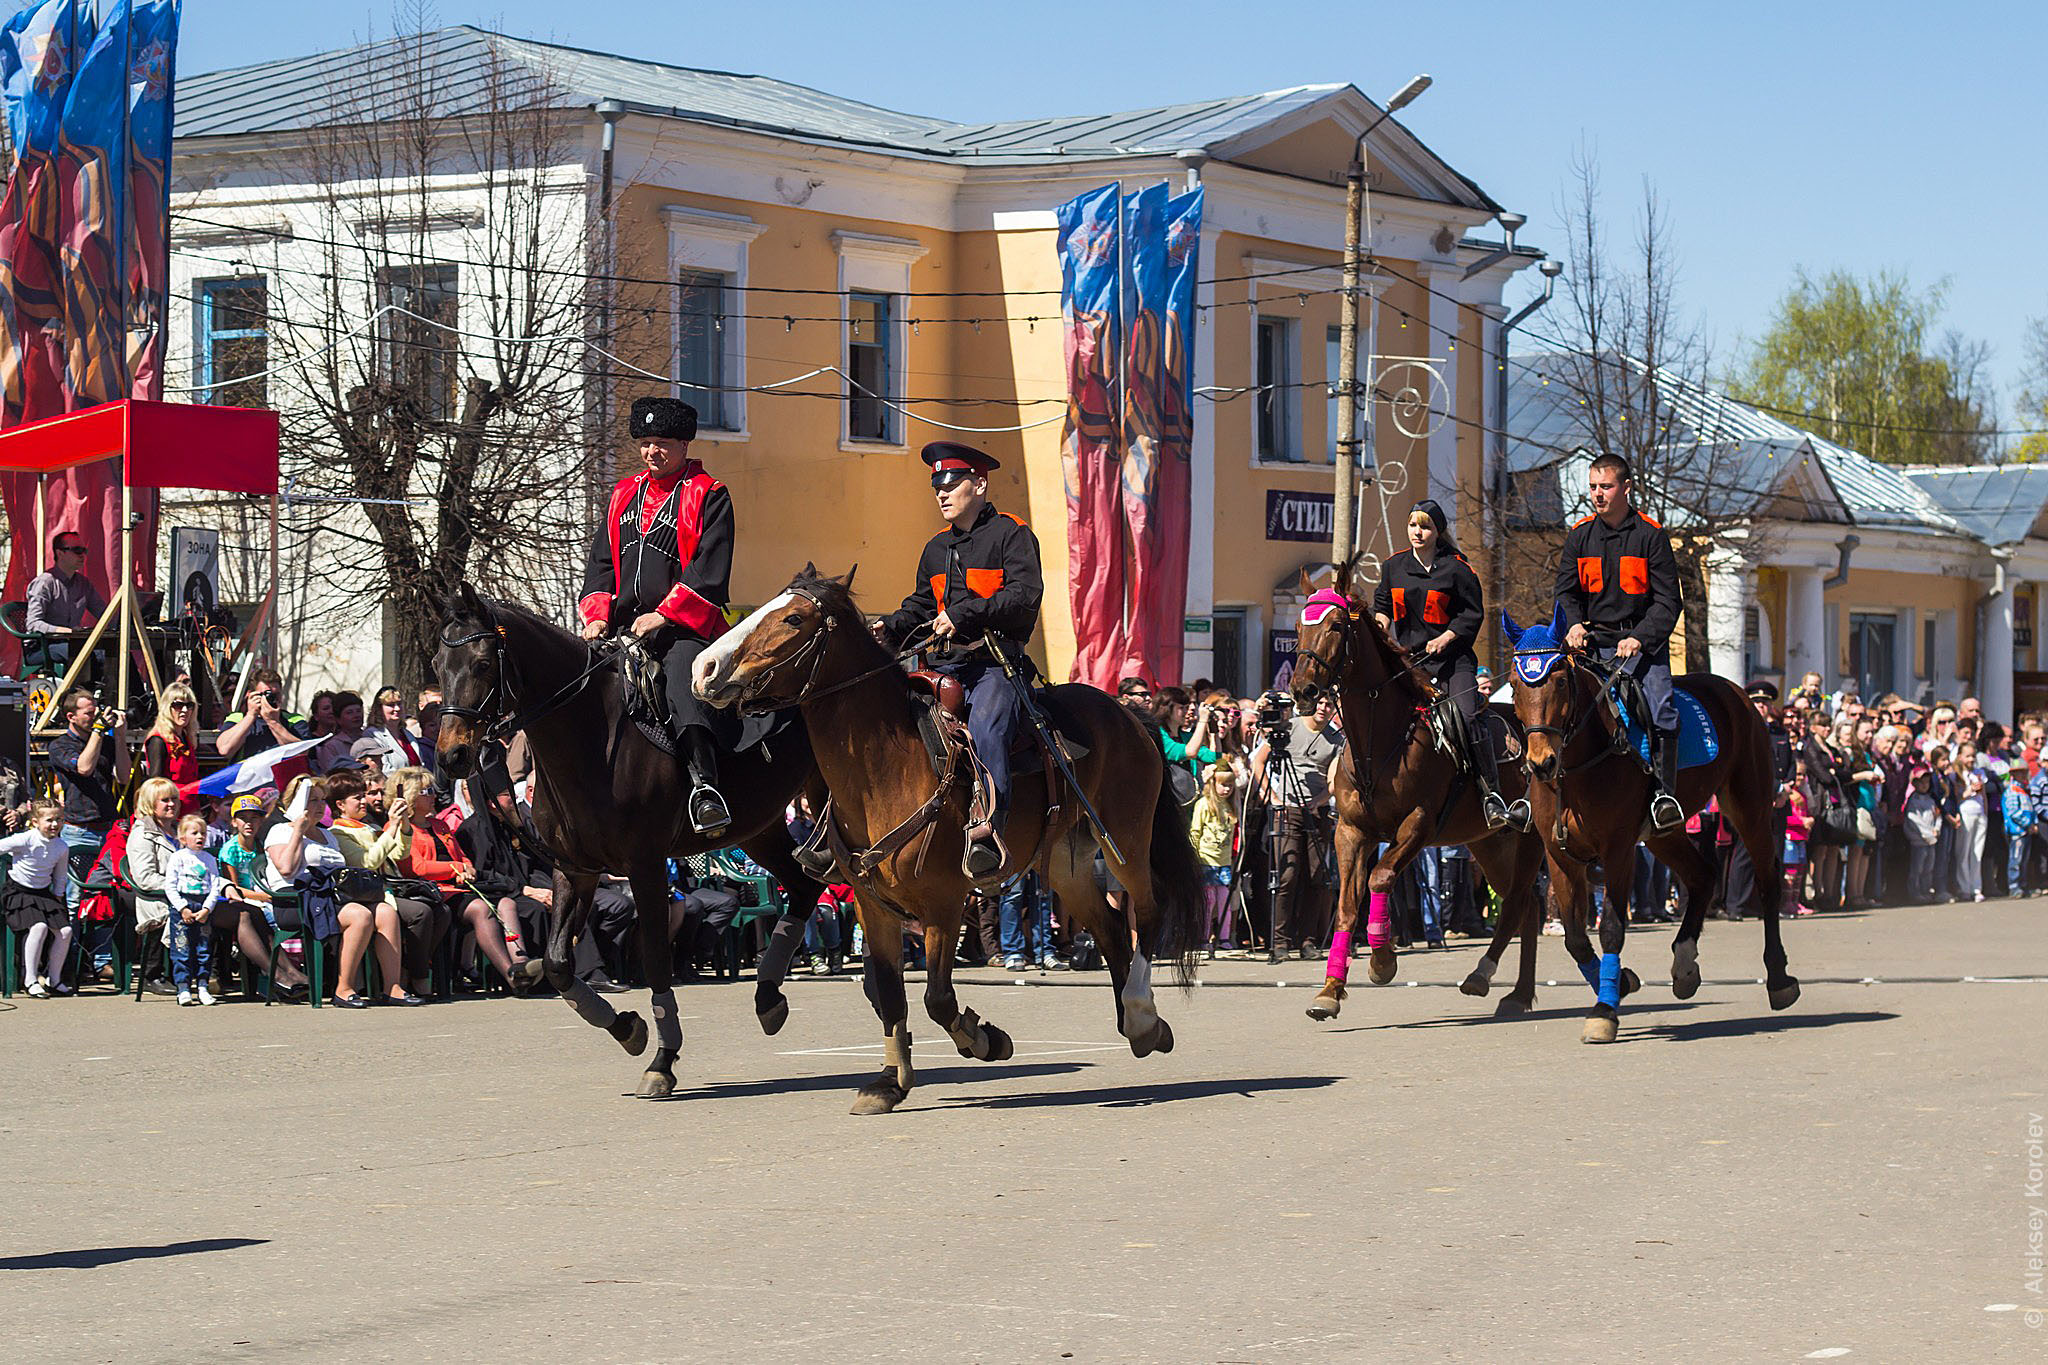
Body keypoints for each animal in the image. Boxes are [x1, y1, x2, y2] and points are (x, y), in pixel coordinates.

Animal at [434, 582, 827, 1098]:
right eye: (437, 664)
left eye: (482, 664)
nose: (451, 755)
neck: (592, 736)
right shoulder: (575, 869)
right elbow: (557, 962)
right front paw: (627, 1028)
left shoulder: (644, 865)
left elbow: (656, 958)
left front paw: (663, 1059)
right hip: (760, 829)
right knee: (803, 887)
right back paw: (768, 999)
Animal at [692, 565, 1205, 1116]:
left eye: (794, 618)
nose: (704, 668)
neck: (886, 766)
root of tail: (1130, 715)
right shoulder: (873, 906)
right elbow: (890, 992)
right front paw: (889, 1082)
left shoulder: (942, 902)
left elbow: (937, 999)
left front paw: (986, 1040)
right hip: (1065, 862)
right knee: (1110, 927)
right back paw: (1141, 1027)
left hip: (1125, 840)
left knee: (1147, 913)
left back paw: (1140, 1012)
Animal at [1286, 561, 1558, 1022]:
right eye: (1297, 627)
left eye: (1336, 625)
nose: (1303, 690)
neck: (1380, 743)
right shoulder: (1350, 832)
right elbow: (1346, 907)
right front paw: (1330, 990)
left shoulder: (1418, 826)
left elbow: (1379, 878)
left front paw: (1382, 961)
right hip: (1489, 843)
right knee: (1525, 905)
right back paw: (1515, 992)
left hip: (1529, 839)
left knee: (1521, 902)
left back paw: (1495, 982)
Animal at [1501, 609, 1798, 1044]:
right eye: (1515, 683)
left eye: (1560, 680)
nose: (1541, 763)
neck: (1580, 766)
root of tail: (1737, 693)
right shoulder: (1560, 855)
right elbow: (1575, 937)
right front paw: (1620, 983)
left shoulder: (1618, 850)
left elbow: (1610, 928)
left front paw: (1605, 1010)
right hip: (1664, 835)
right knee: (1704, 876)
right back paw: (1685, 966)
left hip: (1751, 808)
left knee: (1767, 881)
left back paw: (1778, 979)